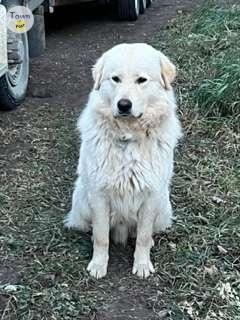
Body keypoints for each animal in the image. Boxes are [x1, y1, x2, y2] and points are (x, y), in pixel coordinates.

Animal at [64, 43, 181, 278]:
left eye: (141, 80)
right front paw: (98, 265)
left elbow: (143, 236)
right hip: (82, 199)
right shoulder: (99, 195)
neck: (128, 137)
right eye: (115, 79)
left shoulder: (151, 196)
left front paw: (142, 265)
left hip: (163, 207)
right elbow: (101, 237)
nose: (124, 105)